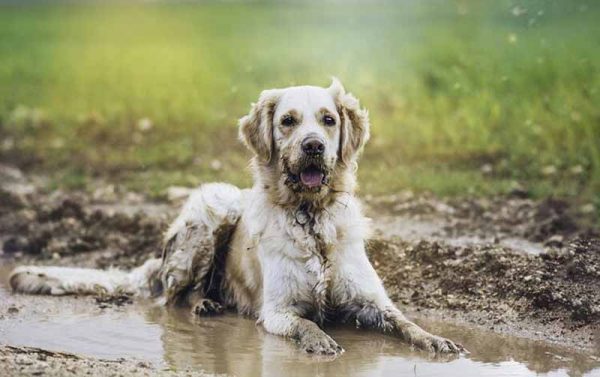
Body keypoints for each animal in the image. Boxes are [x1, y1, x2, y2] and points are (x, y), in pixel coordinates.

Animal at [11, 78, 466, 356]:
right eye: (288, 121)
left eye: (328, 120)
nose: (314, 146)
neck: (311, 219)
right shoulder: (278, 311)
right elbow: (307, 325)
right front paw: (320, 341)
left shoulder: (372, 302)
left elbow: (405, 321)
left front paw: (436, 339)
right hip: (214, 209)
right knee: (171, 298)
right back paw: (205, 303)